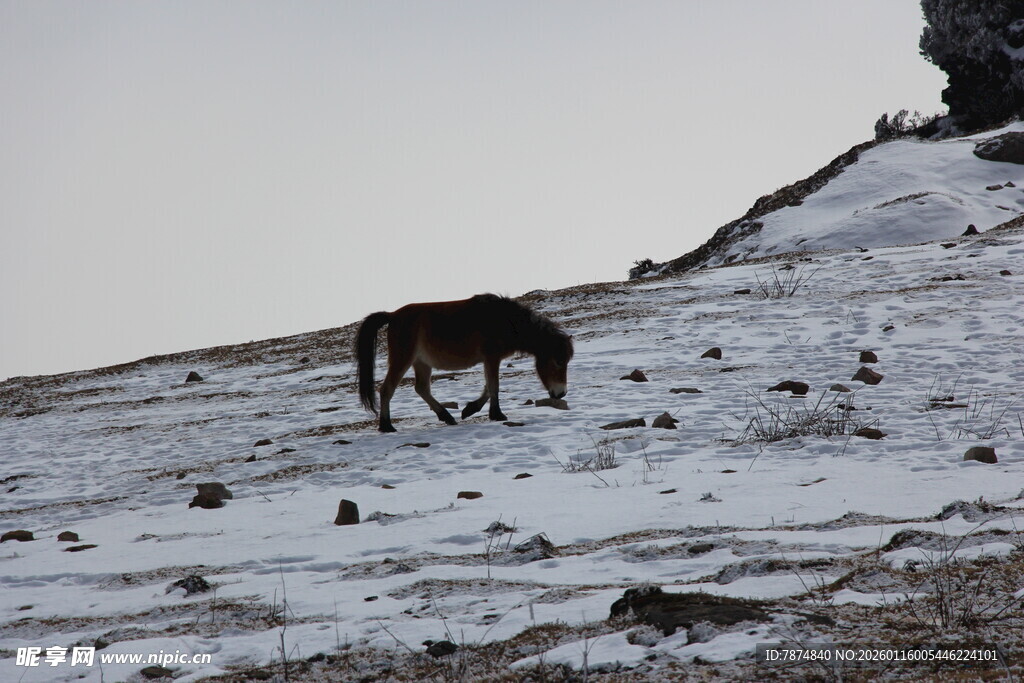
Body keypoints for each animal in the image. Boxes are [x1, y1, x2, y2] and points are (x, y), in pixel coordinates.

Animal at [355, 293, 574, 432]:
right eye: (558, 361)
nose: (560, 393)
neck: (505, 320)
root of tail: (392, 315)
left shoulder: (489, 360)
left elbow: (488, 387)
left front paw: (470, 410)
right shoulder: (492, 358)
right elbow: (494, 386)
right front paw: (497, 415)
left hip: (421, 363)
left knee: (422, 389)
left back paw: (447, 417)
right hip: (403, 359)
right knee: (387, 389)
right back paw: (387, 426)